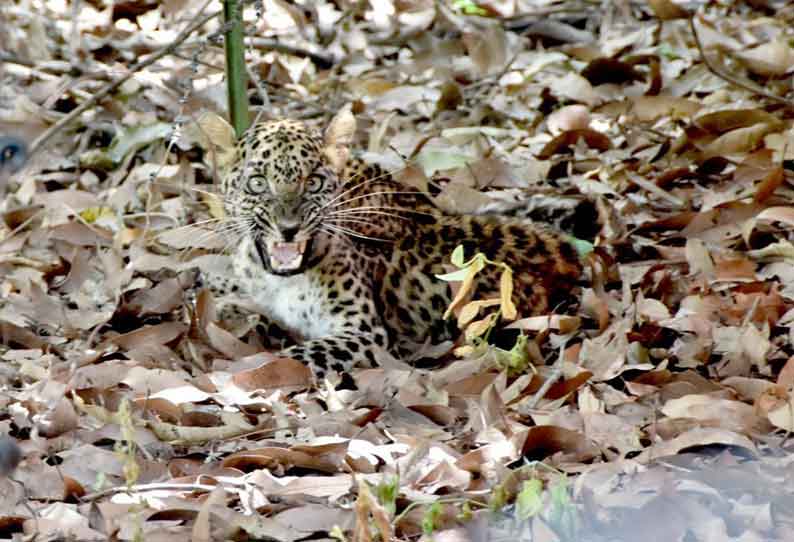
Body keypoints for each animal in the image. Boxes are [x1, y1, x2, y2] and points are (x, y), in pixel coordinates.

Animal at [196, 109, 580, 382]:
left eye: (314, 182)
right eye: (258, 183)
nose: (289, 229)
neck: (278, 281)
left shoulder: (364, 331)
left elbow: (299, 354)